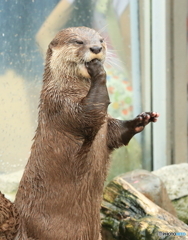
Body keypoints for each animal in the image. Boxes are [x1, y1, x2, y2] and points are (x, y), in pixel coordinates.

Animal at [12, 26, 159, 240]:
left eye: (101, 39)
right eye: (78, 42)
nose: (96, 48)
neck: (68, 88)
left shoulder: (106, 127)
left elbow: (116, 133)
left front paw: (142, 119)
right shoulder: (60, 104)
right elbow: (89, 114)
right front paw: (97, 70)